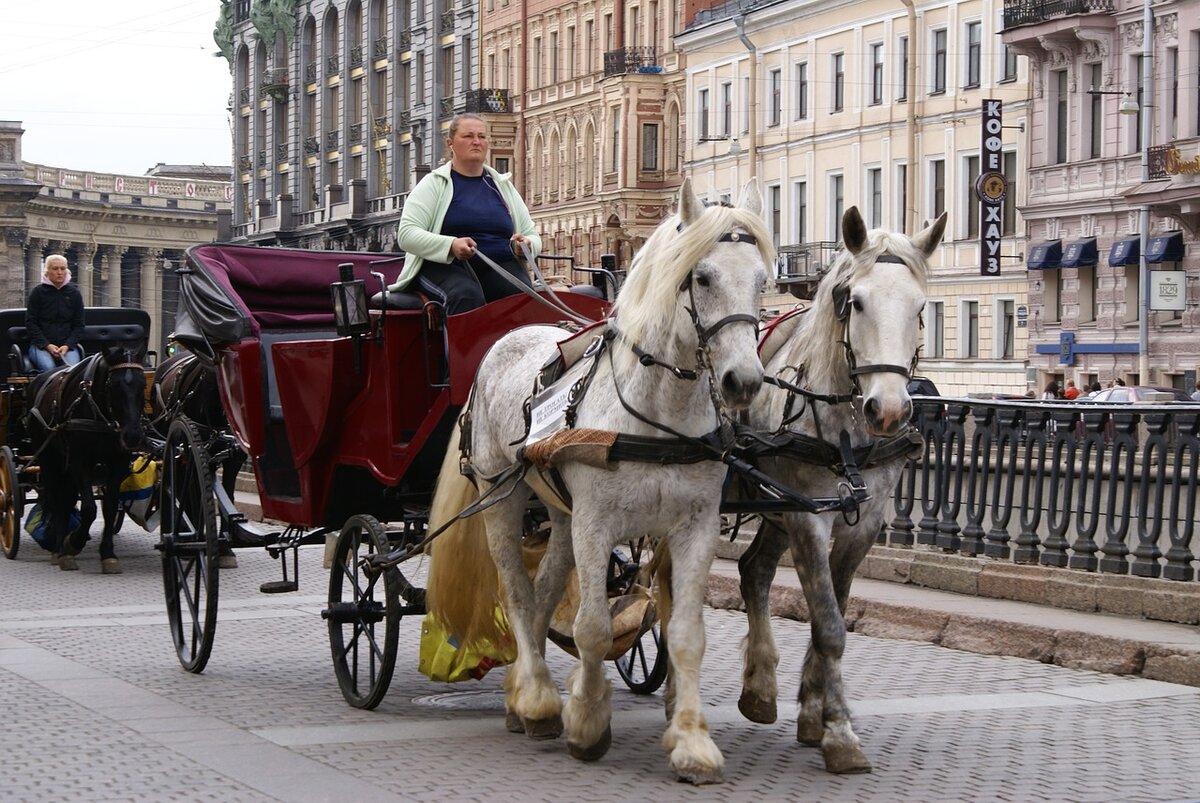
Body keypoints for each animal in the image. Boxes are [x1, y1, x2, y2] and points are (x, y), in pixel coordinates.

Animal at [427, 176, 772, 782]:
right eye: (703, 277)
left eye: (760, 281)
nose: (743, 381)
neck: (657, 414)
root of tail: (510, 337)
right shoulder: (596, 523)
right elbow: (591, 627)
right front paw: (586, 722)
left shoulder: (696, 527)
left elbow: (686, 635)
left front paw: (691, 743)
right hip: (502, 499)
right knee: (516, 592)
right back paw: (539, 700)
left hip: (559, 515)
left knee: (541, 595)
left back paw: (523, 691)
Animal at [739, 205, 945, 768]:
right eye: (856, 301)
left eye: (921, 307)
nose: (889, 410)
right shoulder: (808, 518)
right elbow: (829, 624)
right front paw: (839, 734)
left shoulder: (863, 523)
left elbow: (830, 611)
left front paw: (817, 714)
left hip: (775, 511)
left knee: (753, 570)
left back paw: (759, 690)